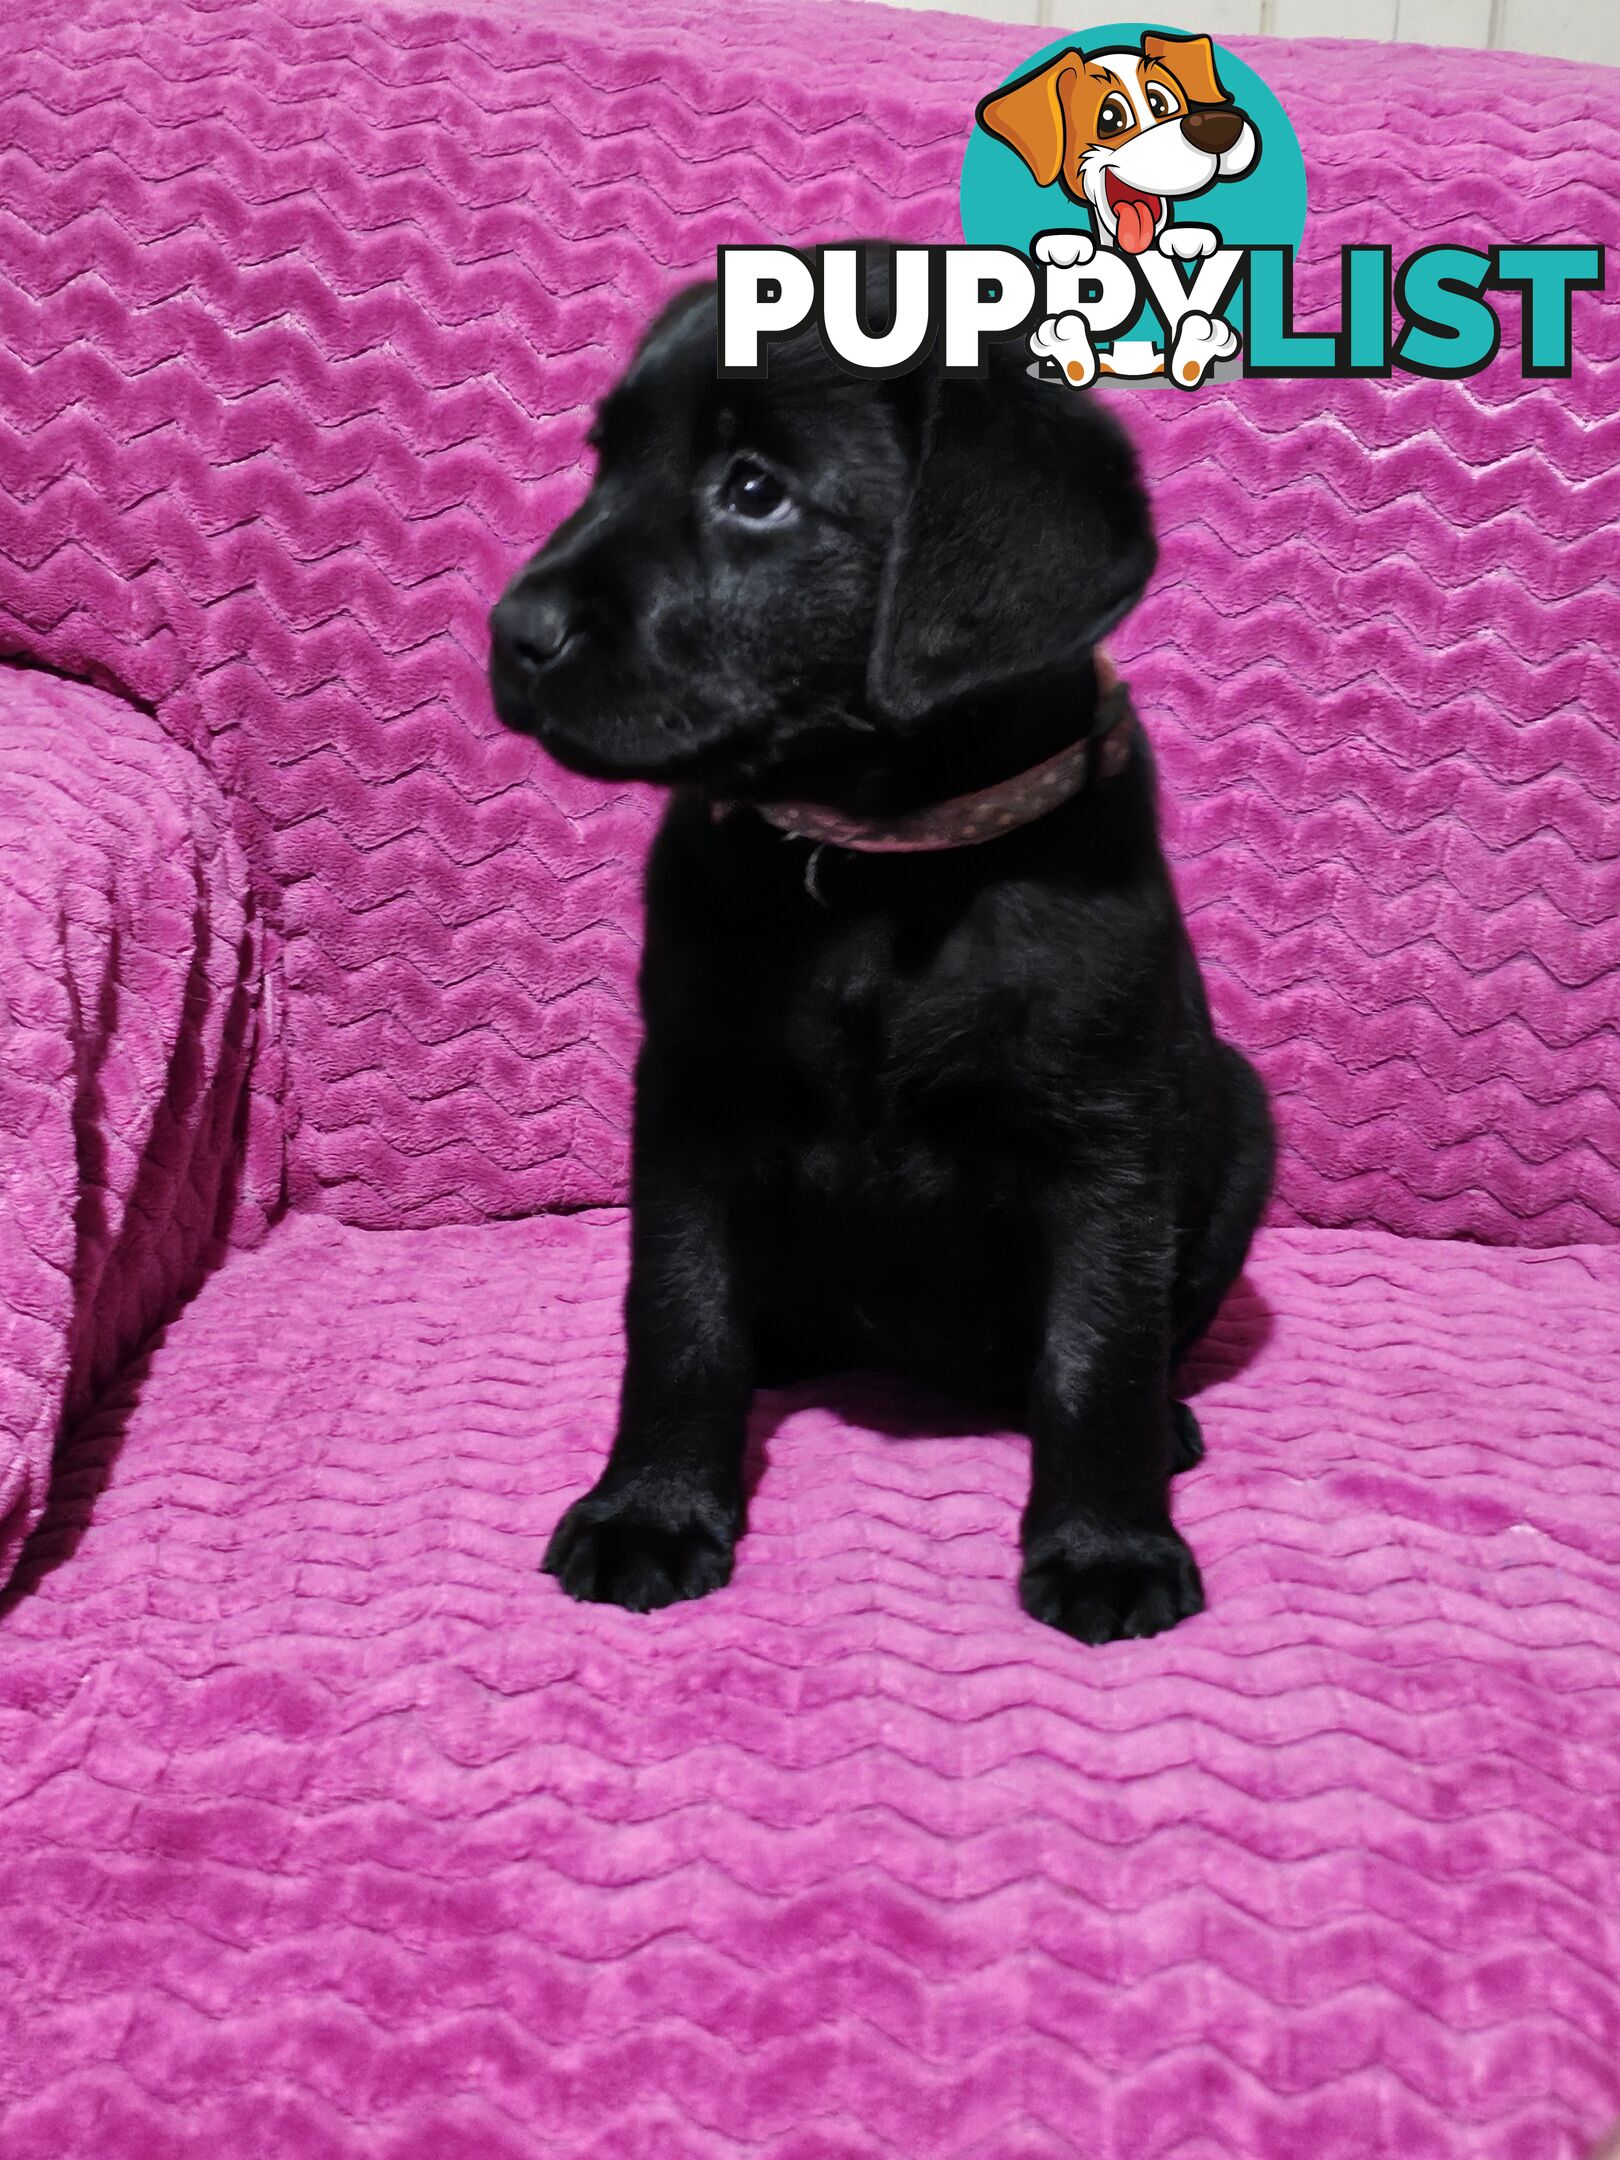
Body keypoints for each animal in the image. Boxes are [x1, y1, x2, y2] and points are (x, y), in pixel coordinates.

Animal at [488, 278, 1278, 1641]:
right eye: (605, 464)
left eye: (755, 489)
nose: (512, 631)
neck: (875, 865)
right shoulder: (690, 1103)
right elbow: (681, 1317)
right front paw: (652, 1511)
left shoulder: (1108, 1140)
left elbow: (1097, 1352)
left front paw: (1107, 1544)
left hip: (1238, 1114)